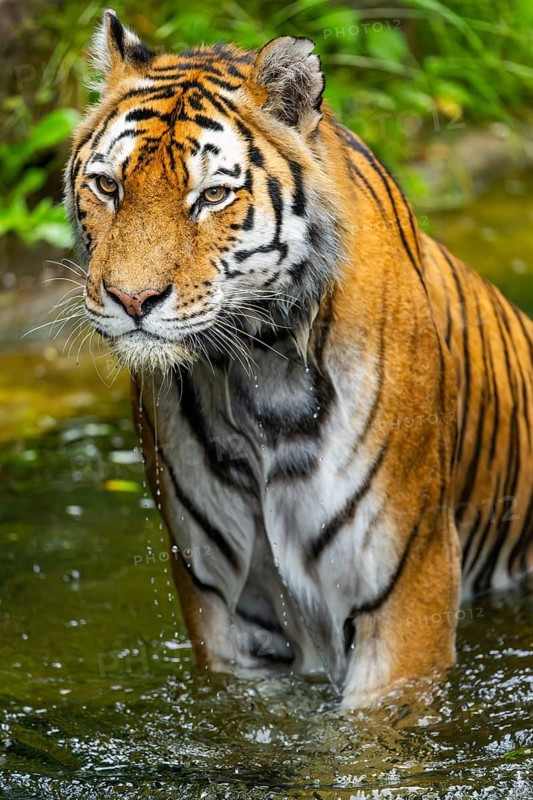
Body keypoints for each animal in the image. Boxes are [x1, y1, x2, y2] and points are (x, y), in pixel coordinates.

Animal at [64, 9, 533, 708]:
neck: (253, 367)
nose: (131, 299)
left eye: (212, 196)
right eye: (106, 185)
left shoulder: (406, 590)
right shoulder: (226, 609)